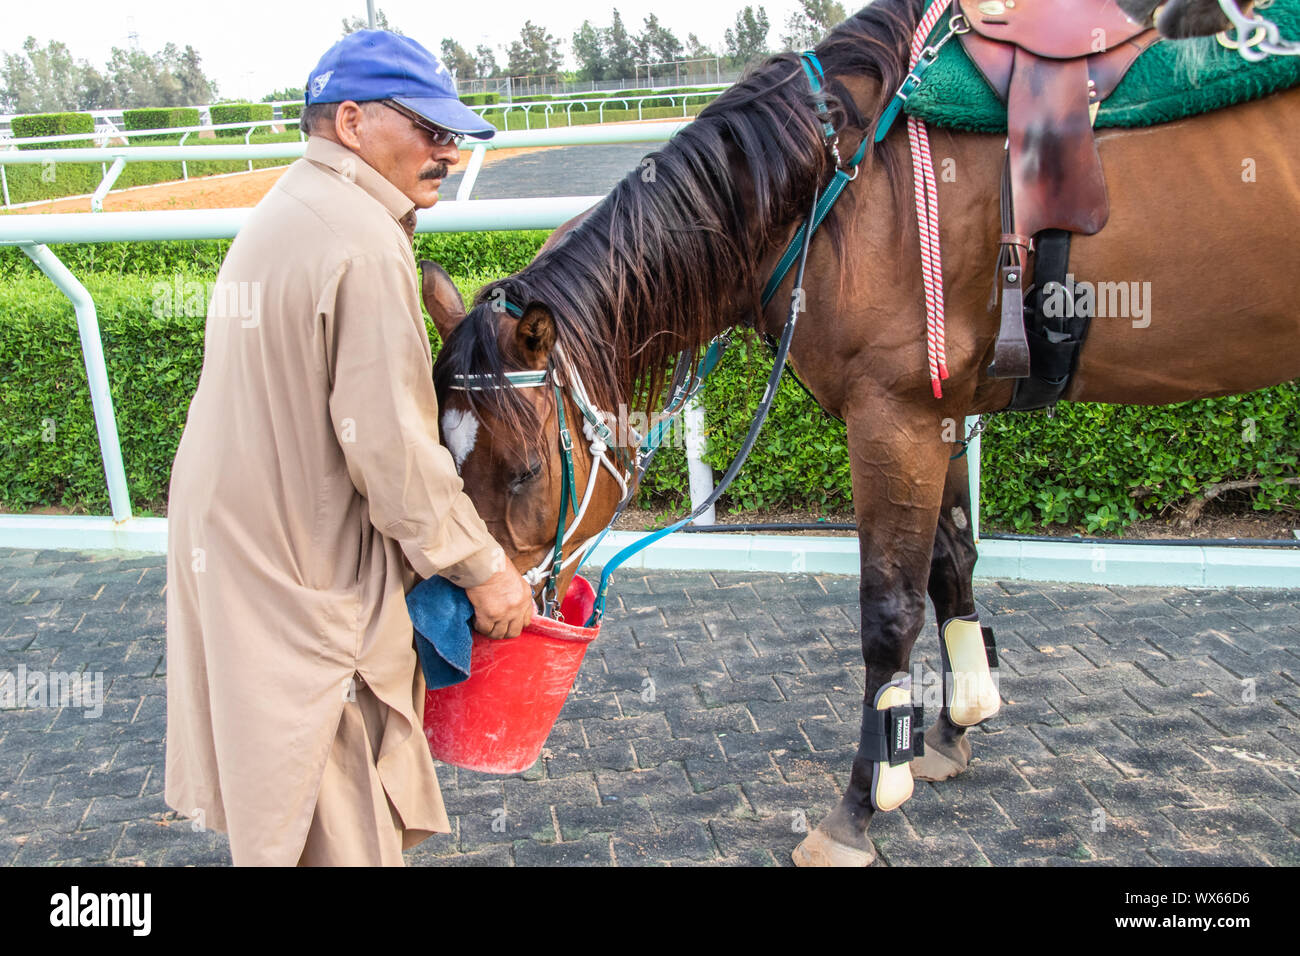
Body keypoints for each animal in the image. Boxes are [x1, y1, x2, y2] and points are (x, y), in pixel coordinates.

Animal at [423, 0, 1300, 868]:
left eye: (527, 471)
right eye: (444, 456)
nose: (484, 621)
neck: (845, 179)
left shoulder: (894, 414)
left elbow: (889, 610)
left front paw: (862, 804)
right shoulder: (936, 411)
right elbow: (952, 563)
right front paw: (950, 729)